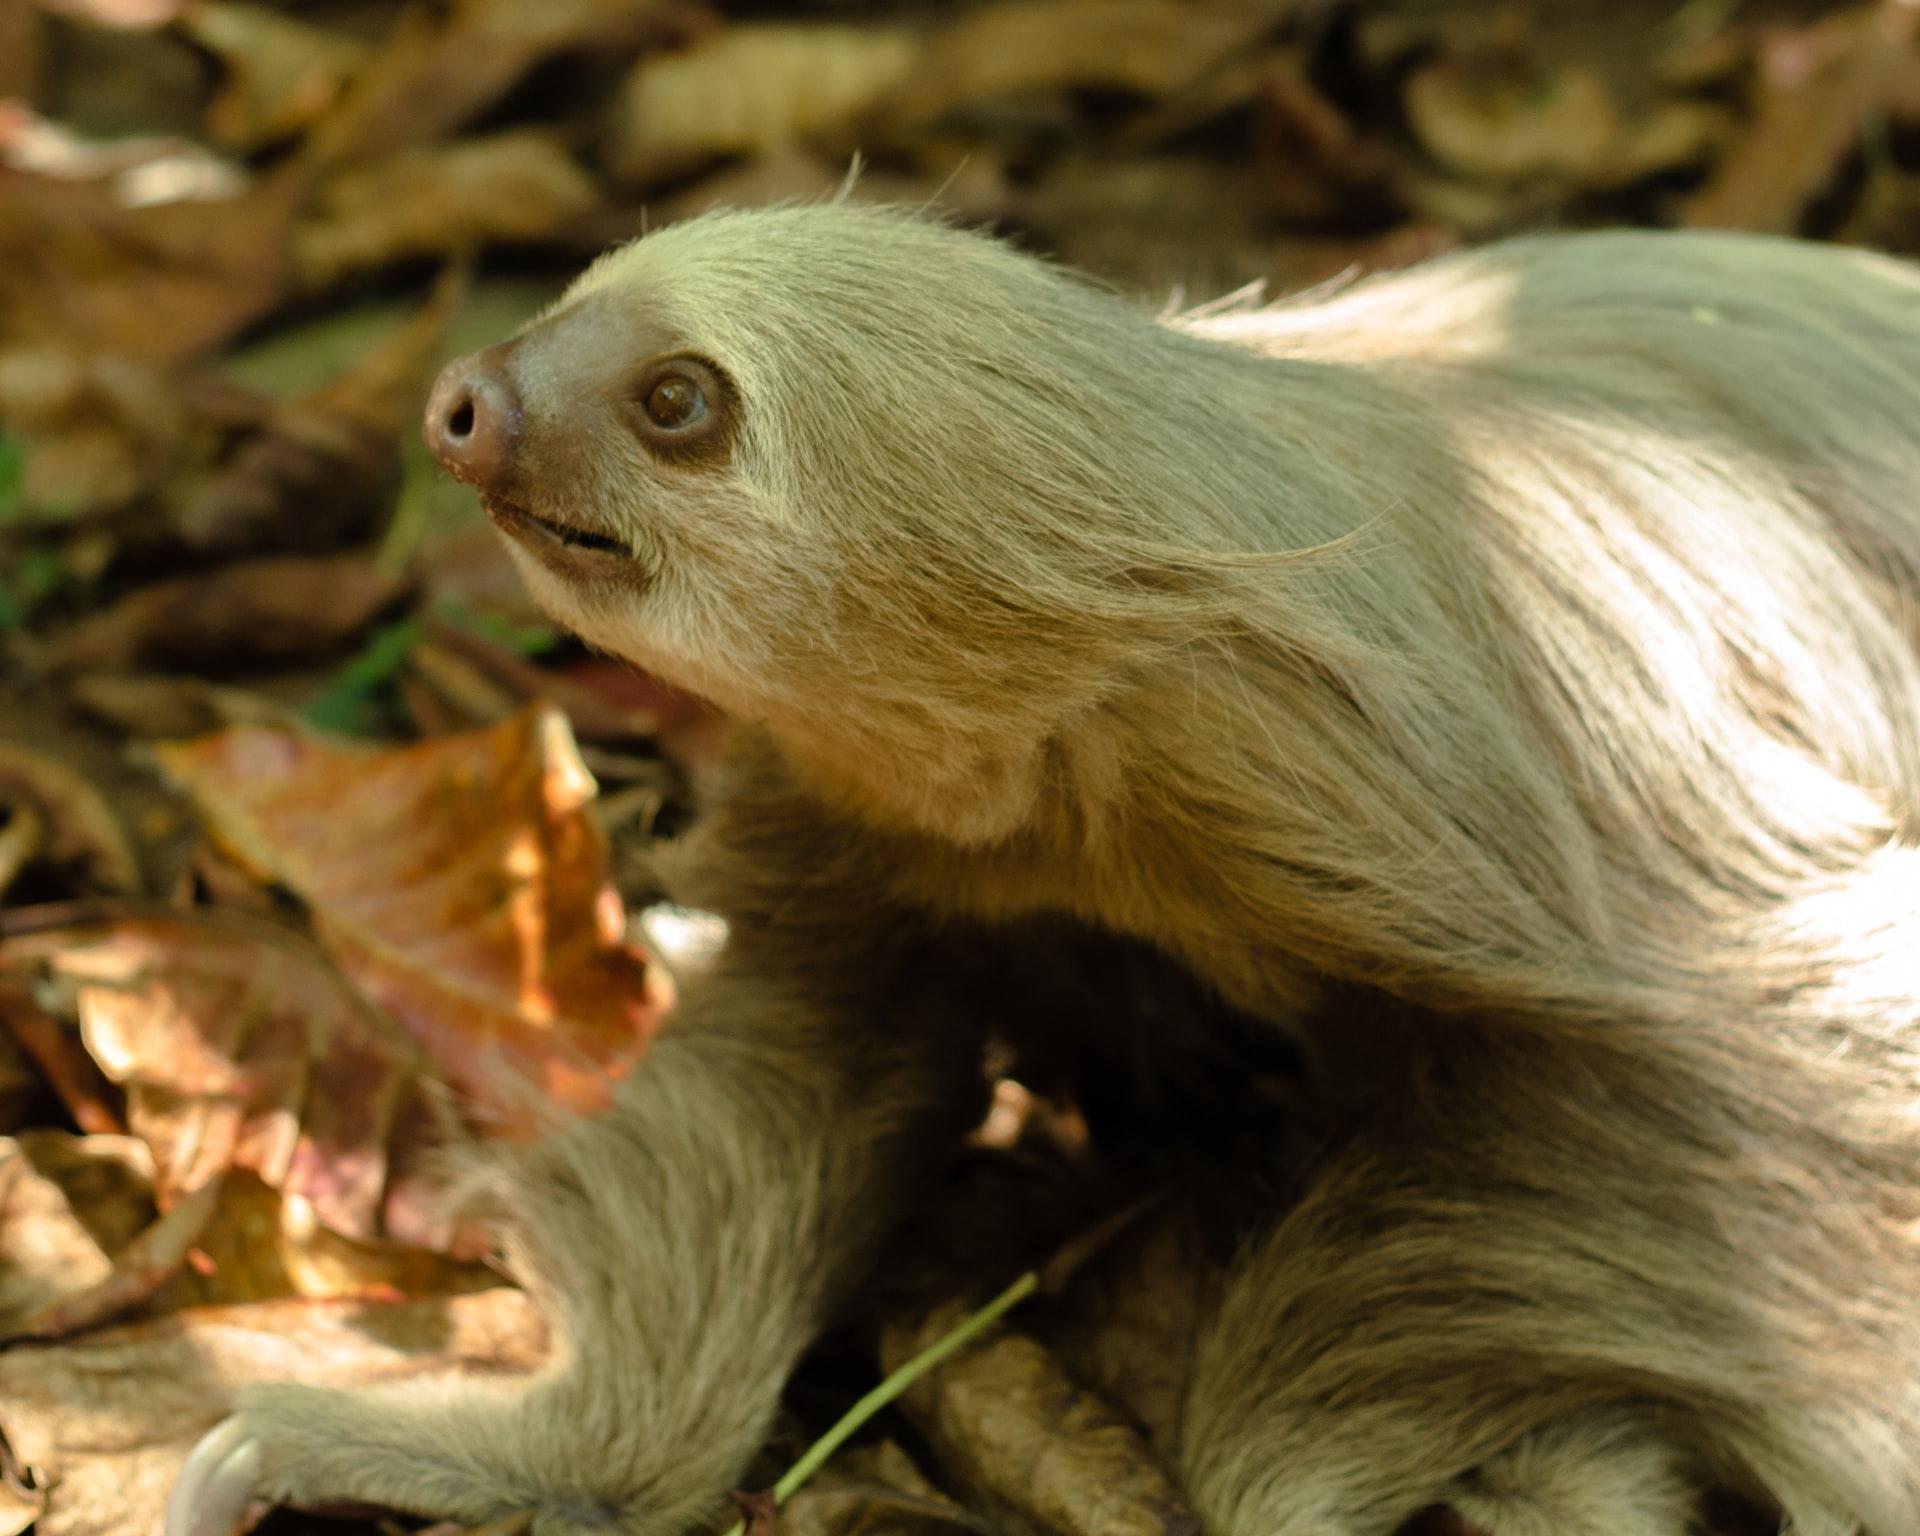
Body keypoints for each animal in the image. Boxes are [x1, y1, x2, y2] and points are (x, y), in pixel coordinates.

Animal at [161, 210, 1920, 1536]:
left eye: (677, 400)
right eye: (572, 302)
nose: (469, 399)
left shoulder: (1478, 812)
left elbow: (1728, 1111)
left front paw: (1328, 1471)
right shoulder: (871, 812)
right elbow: (789, 1071)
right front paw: (453, 1450)